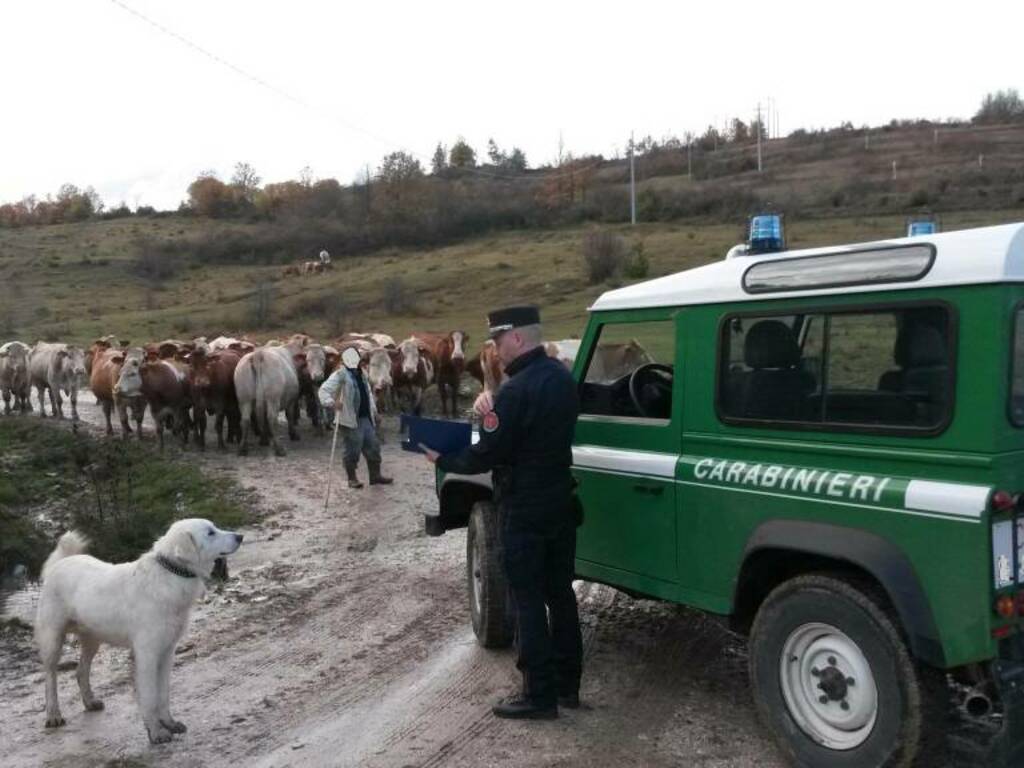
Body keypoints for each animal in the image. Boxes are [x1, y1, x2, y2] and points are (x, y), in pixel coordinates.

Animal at [35, 520, 243, 741]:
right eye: (210, 533)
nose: (240, 537)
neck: (170, 573)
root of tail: (61, 562)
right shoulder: (147, 654)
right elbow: (150, 697)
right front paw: (156, 732)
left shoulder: (167, 652)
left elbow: (163, 694)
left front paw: (169, 722)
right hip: (53, 640)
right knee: (50, 678)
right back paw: (53, 714)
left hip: (93, 639)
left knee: (80, 671)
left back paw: (90, 702)